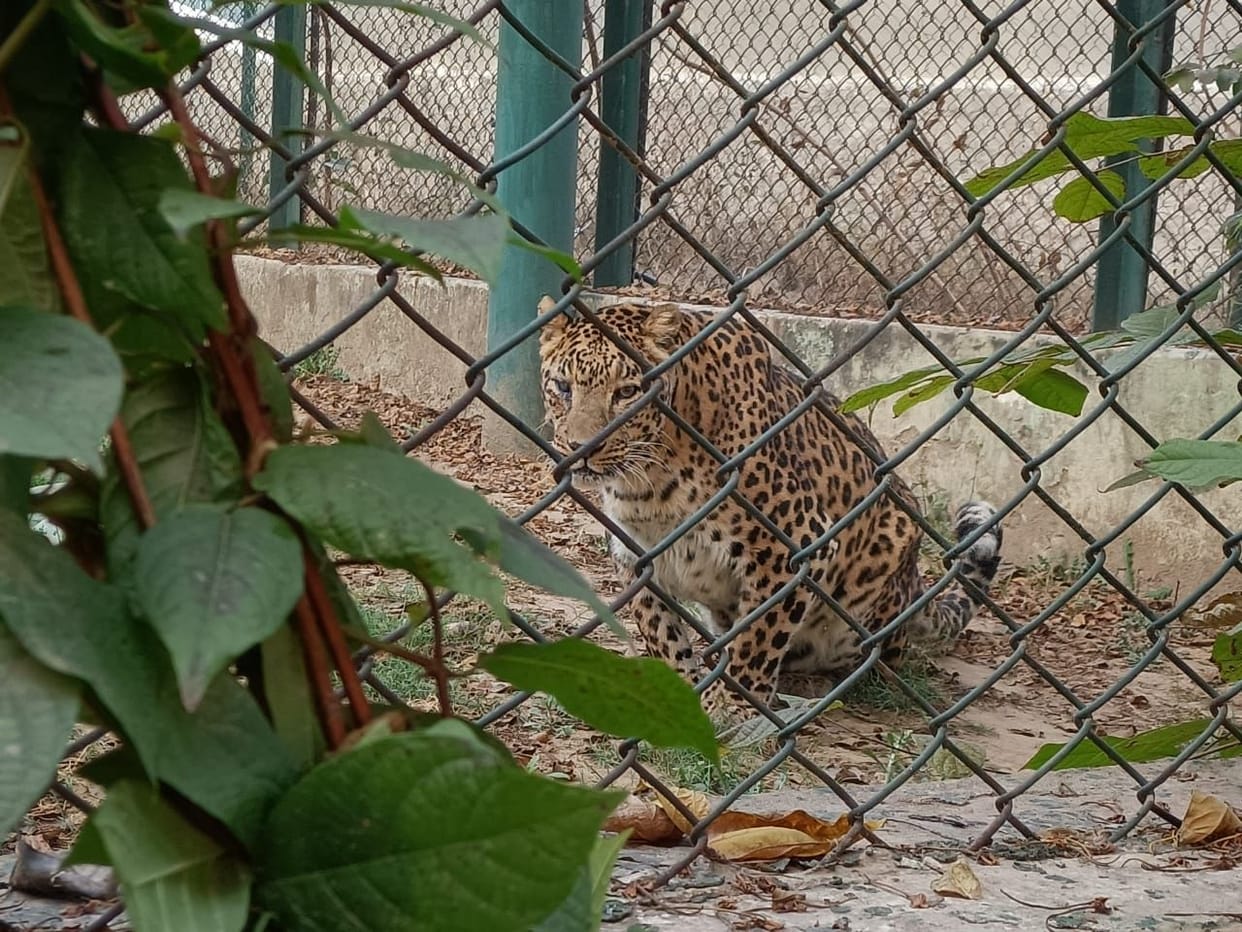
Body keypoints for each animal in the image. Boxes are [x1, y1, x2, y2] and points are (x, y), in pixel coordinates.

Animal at [538, 299, 1004, 722]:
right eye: (562, 387)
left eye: (627, 392)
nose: (581, 448)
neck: (650, 482)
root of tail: (913, 584)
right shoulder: (636, 554)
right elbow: (661, 632)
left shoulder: (794, 547)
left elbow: (758, 637)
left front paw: (732, 706)